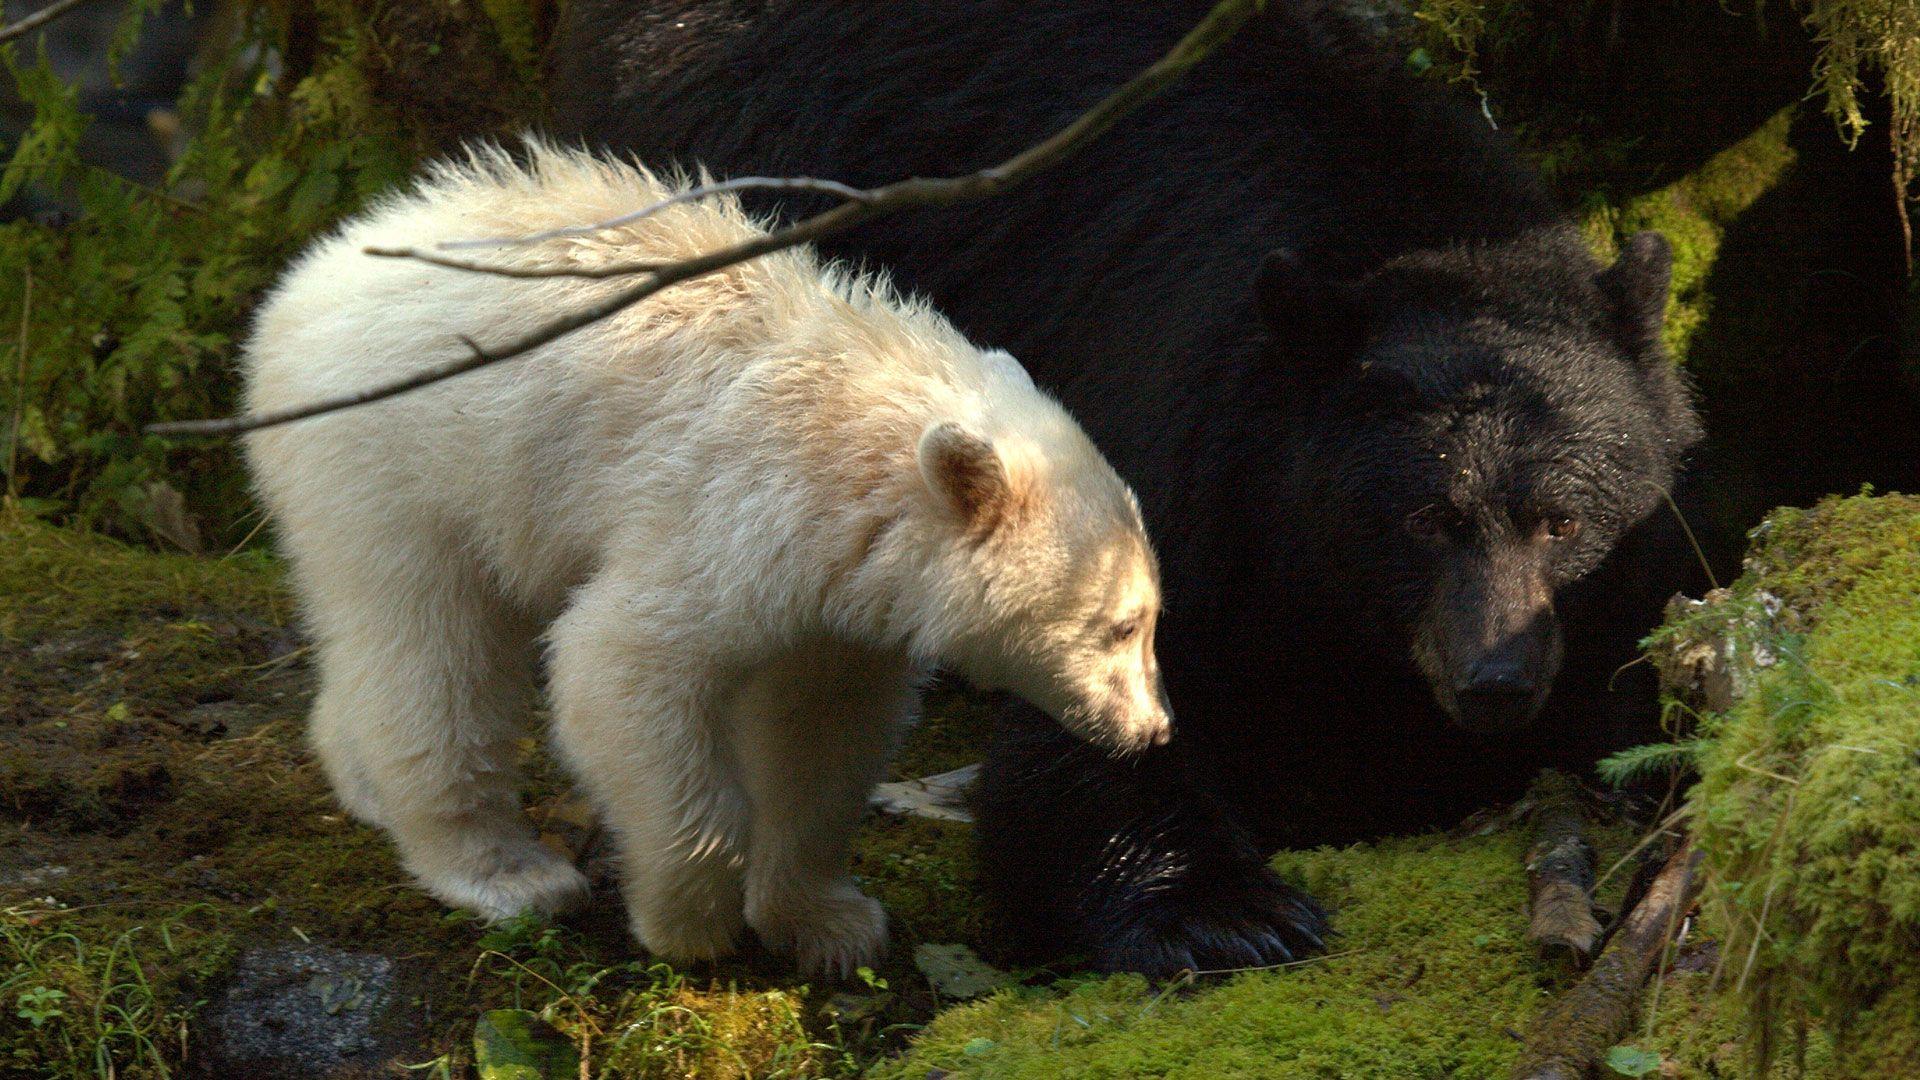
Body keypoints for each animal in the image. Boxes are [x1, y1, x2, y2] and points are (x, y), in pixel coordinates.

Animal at [239, 141, 1173, 975]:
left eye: (1152, 616)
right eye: (1121, 625)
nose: (1153, 731)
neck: (854, 442)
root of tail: (301, 287)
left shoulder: (842, 599)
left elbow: (820, 734)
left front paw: (830, 923)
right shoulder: (730, 512)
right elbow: (622, 666)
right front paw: (688, 922)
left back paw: (363, 783)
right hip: (400, 464)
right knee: (435, 650)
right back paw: (507, 871)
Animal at [547, 0, 1706, 974]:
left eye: (1563, 520)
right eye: (1424, 518)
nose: (1495, 682)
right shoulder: (1189, 454)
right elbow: (1099, 712)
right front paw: (1225, 911)